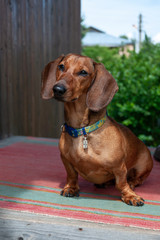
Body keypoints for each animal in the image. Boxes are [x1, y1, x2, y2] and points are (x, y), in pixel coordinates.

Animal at [41, 53, 152, 205]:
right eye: (61, 66)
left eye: (83, 72)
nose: (57, 89)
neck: (83, 130)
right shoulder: (65, 160)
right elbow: (71, 175)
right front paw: (71, 188)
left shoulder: (119, 167)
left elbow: (121, 183)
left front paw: (130, 195)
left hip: (143, 165)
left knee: (137, 179)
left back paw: (132, 183)